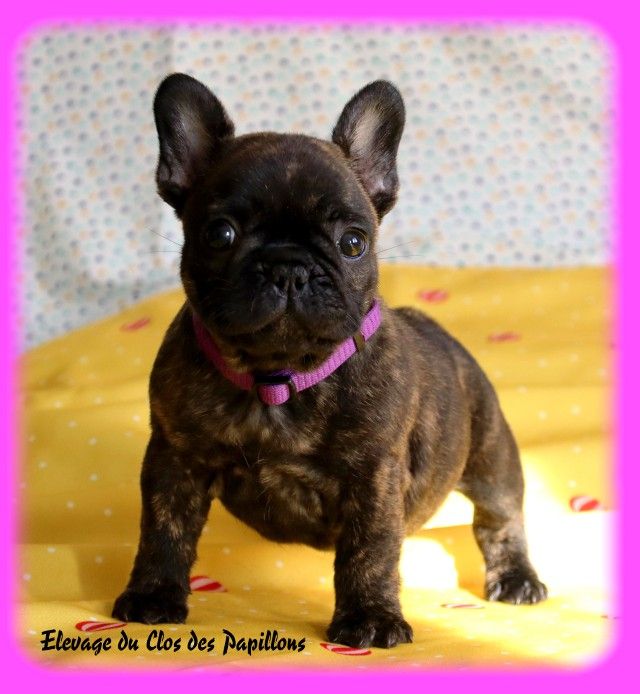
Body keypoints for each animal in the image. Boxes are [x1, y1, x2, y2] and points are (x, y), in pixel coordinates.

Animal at [112, 73, 547, 648]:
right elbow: (164, 530)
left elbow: (369, 550)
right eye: (220, 234)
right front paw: (153, 596)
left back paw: (517, 579)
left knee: (500, 519)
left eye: (353, 242)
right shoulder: (175, 459)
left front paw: (369, 618)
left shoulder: (374, 476)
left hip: (491, 455)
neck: (277, 378)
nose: (288, 266)